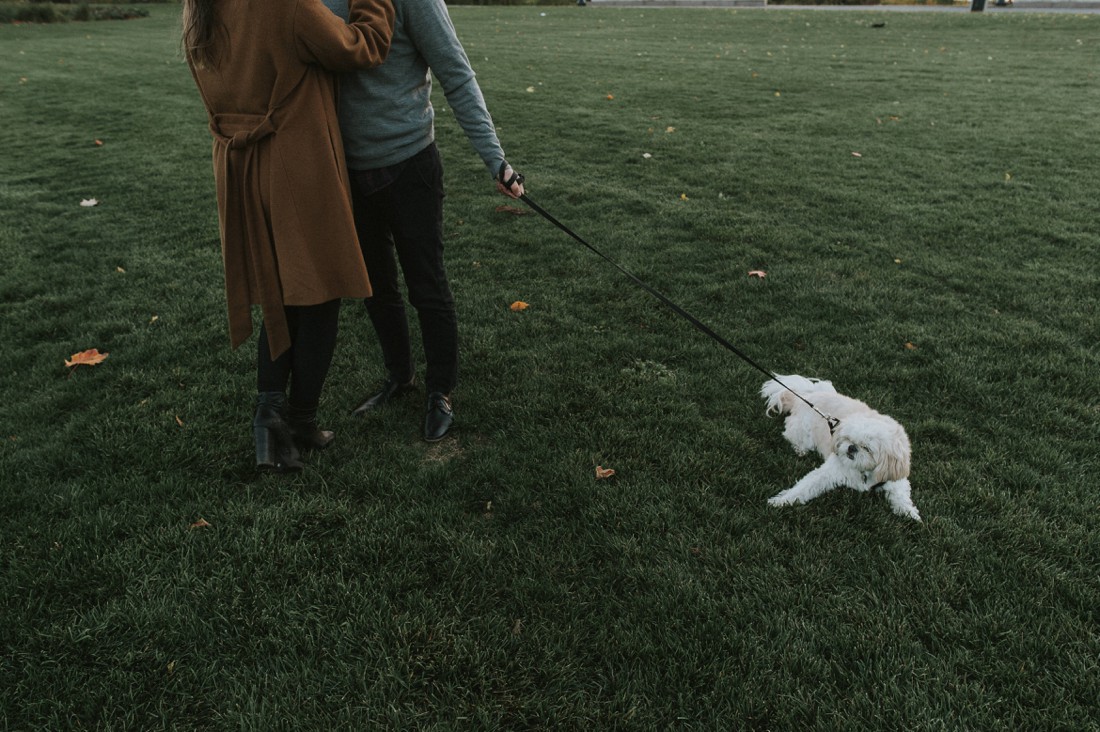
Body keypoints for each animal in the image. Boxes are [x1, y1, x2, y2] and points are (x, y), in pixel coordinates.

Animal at [756, 376, 919, 519]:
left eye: (867, 448)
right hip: (803, 432)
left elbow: (901, 496)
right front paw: (781, 501)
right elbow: (803, 488)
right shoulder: (829, 471)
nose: (851, 448)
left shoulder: (894, 476)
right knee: (791, 436)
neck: (863, 471)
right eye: (847, 438)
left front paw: (908, 512)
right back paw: (800, 449)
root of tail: (807, 395)